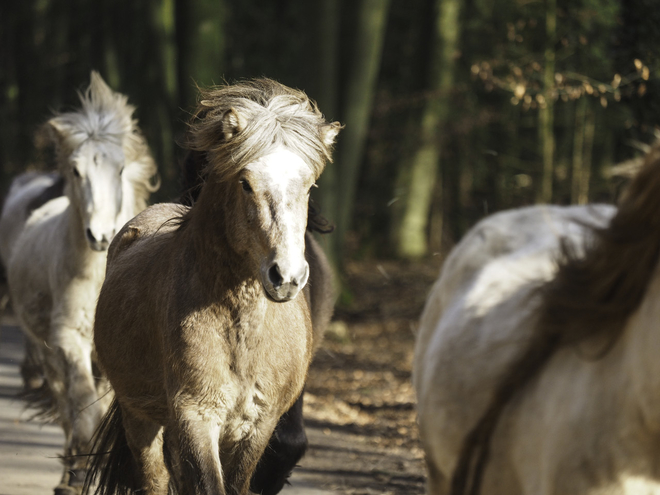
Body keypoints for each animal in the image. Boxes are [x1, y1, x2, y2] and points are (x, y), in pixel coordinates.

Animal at [6, 70, 157, 495]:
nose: (100, 236)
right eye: (76, 171)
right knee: (66, 409)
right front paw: (75, 478)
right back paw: (69, 471)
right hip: (49, 352)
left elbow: (102, 409)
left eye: (120, 170)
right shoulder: (69, 340)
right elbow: (84, 414)